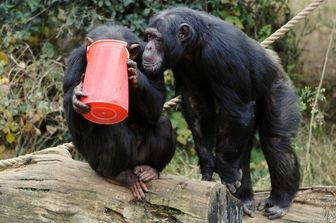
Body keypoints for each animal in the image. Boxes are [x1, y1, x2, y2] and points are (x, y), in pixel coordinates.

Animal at [62, 25, 176, 199]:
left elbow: (157, 104)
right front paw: (77, 96)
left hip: (139, 159)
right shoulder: (76, 60)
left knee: (163, 123)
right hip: (96, 163)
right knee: (111, 127)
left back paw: (150, 169)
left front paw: (135, 75)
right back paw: (119, 175)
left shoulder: (150, 60)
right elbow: (76, 126)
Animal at [143, 6, 300, 220]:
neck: (196, 44)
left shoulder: (225, 54)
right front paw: (208, 163)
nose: (147, 47)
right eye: (149, 36)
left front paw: (227, 171)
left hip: (279, 85)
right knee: (244, 145)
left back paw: (280, 201)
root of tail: (276, 62)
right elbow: (197, 104)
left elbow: (237, 108)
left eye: (157, 39)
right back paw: (244, 200)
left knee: (275, 141)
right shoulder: (183, 65)